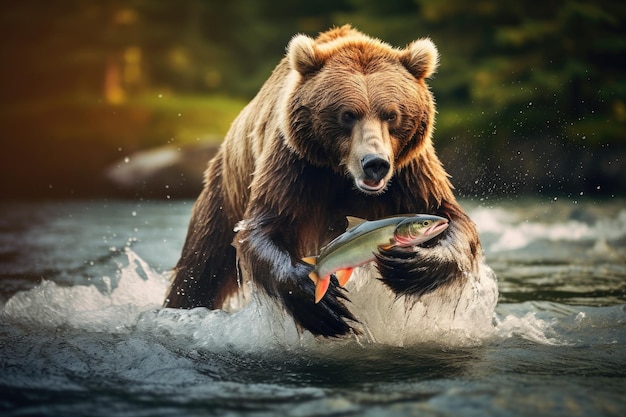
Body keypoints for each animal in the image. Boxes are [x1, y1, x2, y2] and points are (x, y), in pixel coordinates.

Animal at [163, 25, 494, 338]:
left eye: (391, 114)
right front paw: (320, 305)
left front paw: (411, 264)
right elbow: (263, 227)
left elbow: (452, 218)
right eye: (348, 114)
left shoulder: (409, 170)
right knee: (201, 267)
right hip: (225, 192)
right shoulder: (296, 165)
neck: (343, 176)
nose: (375, 164)